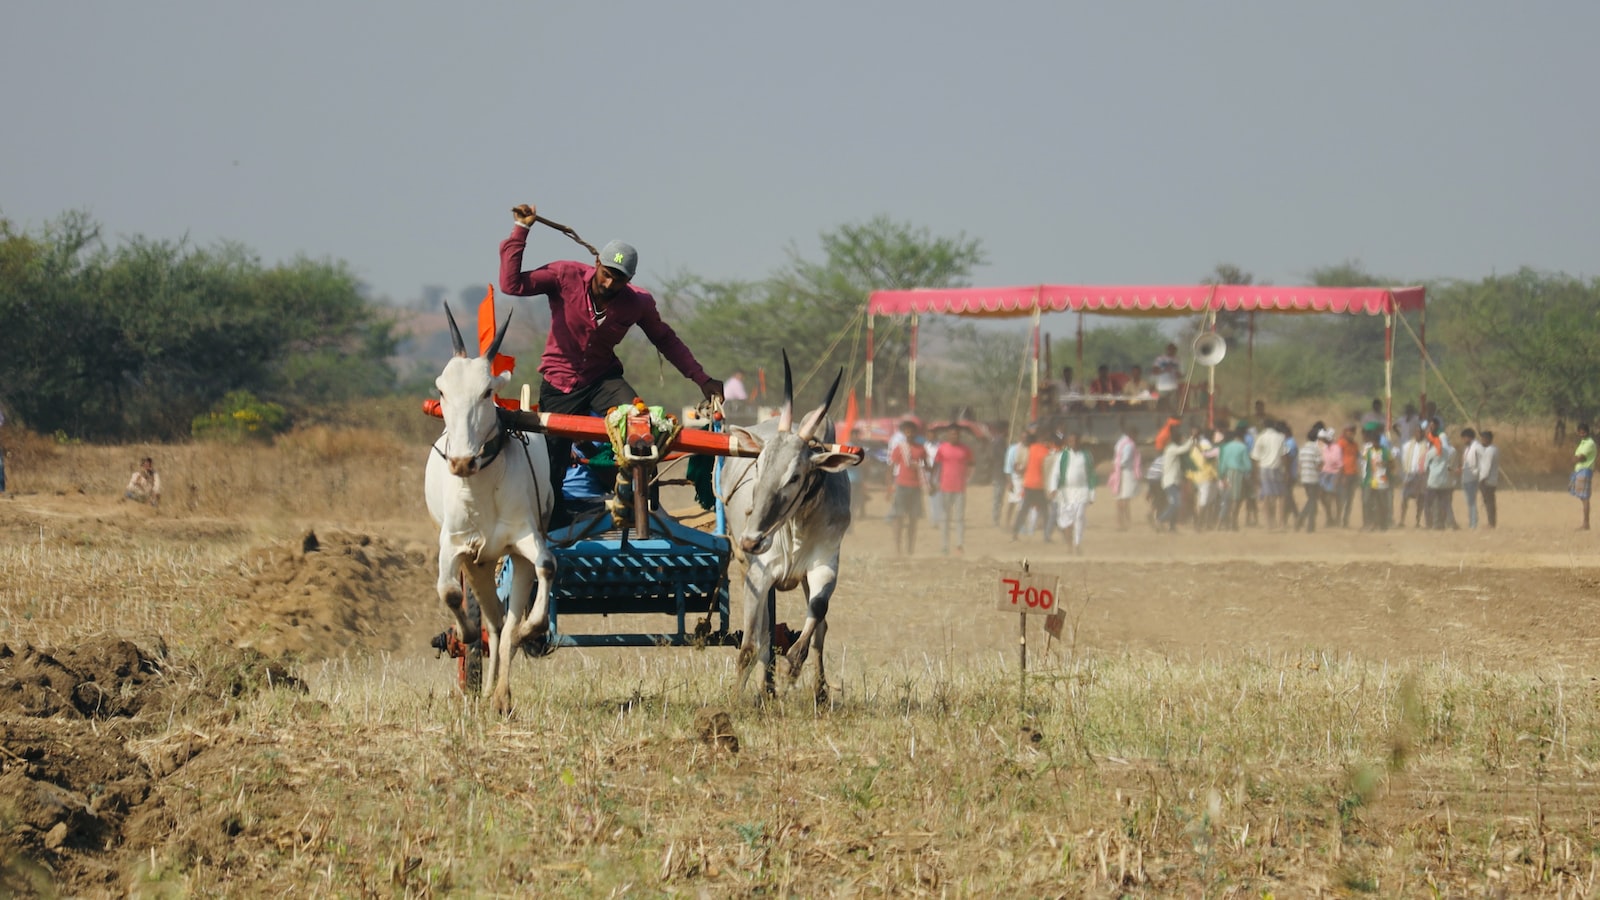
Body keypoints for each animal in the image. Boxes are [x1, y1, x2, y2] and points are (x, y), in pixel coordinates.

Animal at [425, 304, 556, 711]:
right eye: (441, 389)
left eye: (487, 392)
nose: (462, 461)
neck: (481, 487)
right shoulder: (453, 544)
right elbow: (449, 592)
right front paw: (464, 632)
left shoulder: (526, 539)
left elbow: (547, 567)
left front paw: (532, 628)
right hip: (479, 564)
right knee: (495, 623)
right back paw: (486, 690)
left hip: (510, 560)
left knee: (506, 625)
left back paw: (500, 695)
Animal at [726, 353, 857, 698]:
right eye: (758, 465)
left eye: (795, 476)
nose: (751, 540)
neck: (796, 523)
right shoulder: (759, 574)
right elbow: (749, 645)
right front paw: (735, 698)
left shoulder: (824, 565)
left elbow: (818, 615)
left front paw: (792, 669)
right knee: (763, 633)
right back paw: (764, 689)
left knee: (818, 629)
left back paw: (815, 691)